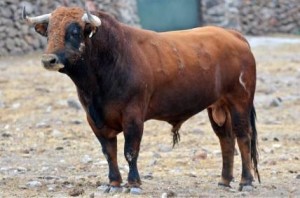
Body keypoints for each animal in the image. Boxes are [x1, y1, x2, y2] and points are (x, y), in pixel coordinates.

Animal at [22, 6, 260, 193]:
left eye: (73, 31)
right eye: (48, 31)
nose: (49, 59)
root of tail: (233, 35)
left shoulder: (133, 115)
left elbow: (130, 150)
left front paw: (133, 183)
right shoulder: (94, 119)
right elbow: (109, 152)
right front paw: (113, 183)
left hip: (240, 101)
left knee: (243, 137)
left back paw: (246, 182)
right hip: (217, 107)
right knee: (226, 140)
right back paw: (224, 181)